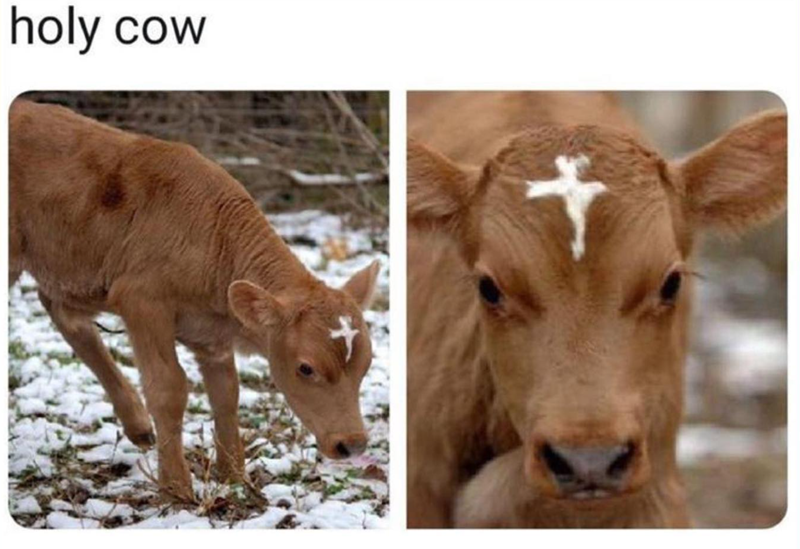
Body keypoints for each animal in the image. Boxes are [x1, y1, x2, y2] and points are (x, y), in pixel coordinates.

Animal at [9, 99, 381, 502]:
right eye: (306, 368)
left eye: (366, 364)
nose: (352, 444)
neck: (213, 239)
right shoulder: (142, 301)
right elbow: (169, 388)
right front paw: (175, 487)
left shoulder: (211, 333)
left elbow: (226, 392)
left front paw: (235, 476)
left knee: (64, 313)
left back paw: (137, 424)